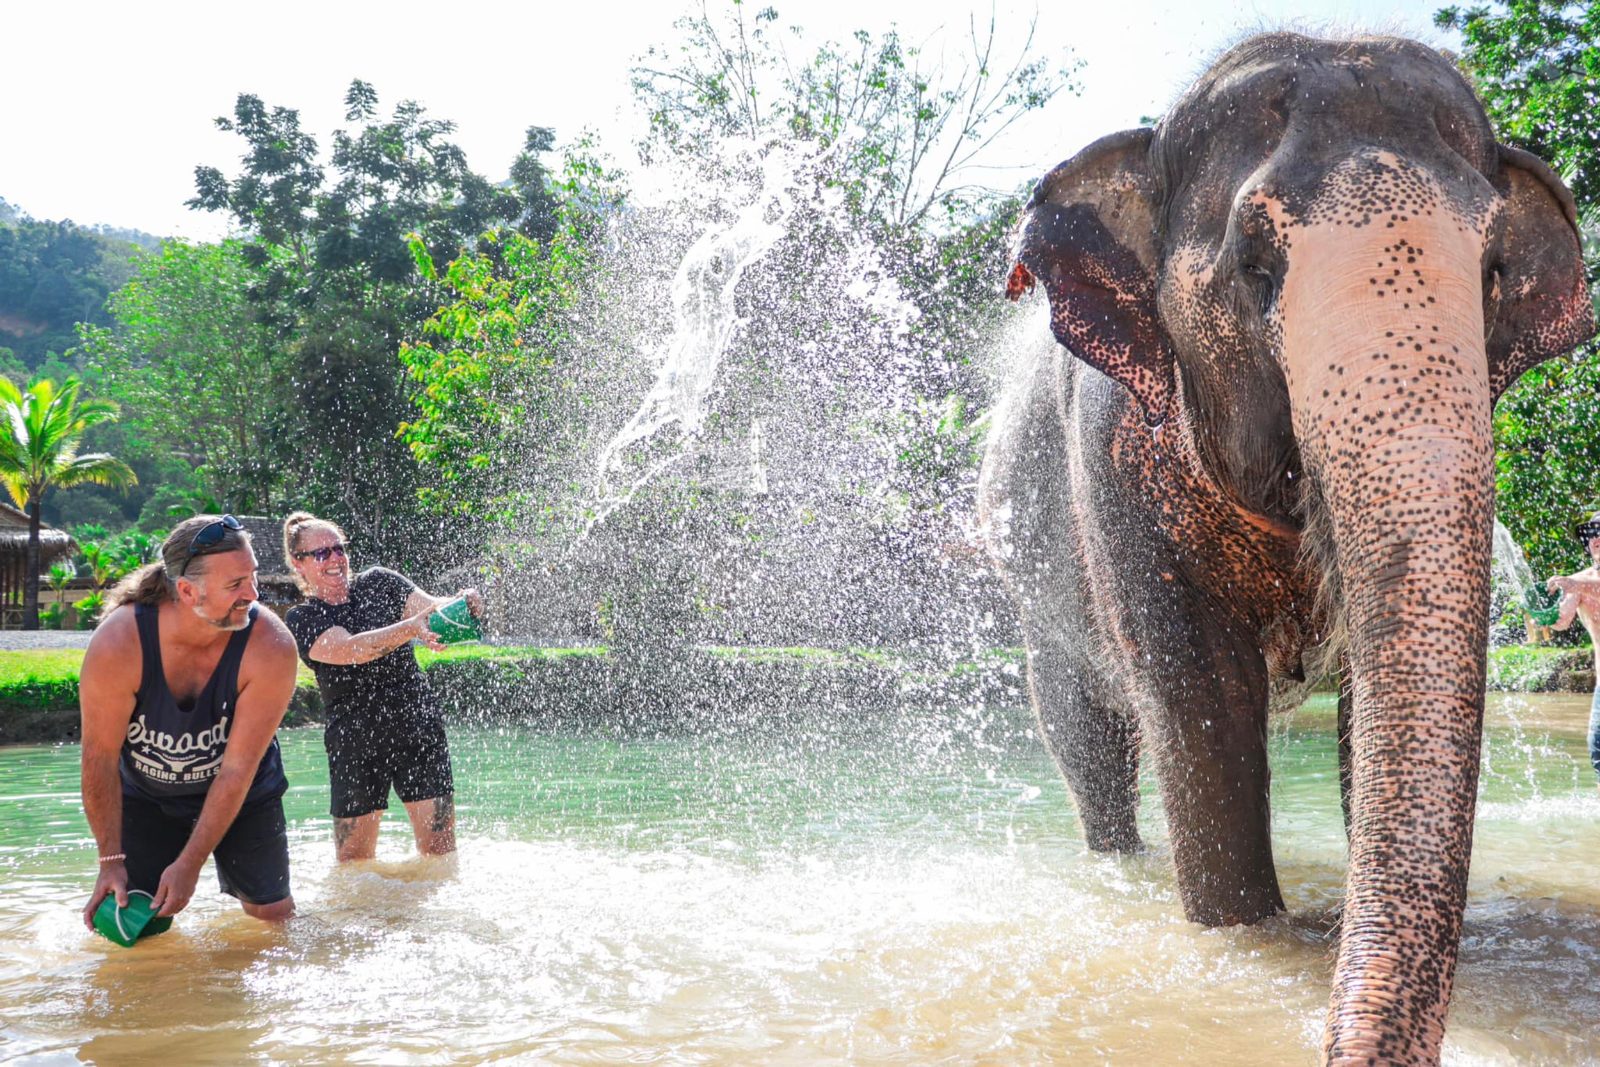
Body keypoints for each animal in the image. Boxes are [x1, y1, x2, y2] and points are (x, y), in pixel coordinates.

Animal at [977, 32, 1594, 1064]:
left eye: (1494, 271)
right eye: (1254, 265)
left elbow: (1362, 726)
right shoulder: (1115, 455)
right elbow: (1204, 704)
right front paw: (1243, 937)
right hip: (1036, 591)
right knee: (1089, 740)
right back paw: (1120, 862)